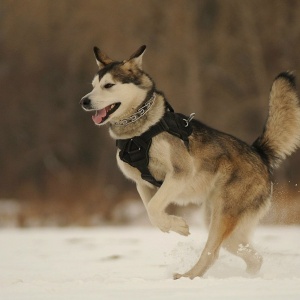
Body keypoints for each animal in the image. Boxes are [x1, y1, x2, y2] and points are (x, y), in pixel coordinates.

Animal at [79, 45, 300, 278]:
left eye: (109, 85)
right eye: (93, 86)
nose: (84, 101)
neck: (137, 135)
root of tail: (259, 153)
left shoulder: (180, 173)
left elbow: (154, 207)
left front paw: (177, 225)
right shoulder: (142, 183)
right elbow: (151, 210)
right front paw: (171, 225)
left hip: (223, 215)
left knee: (212, 253)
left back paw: (189, 276)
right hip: (220, 220)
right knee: (252, 256)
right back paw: (247, 276)